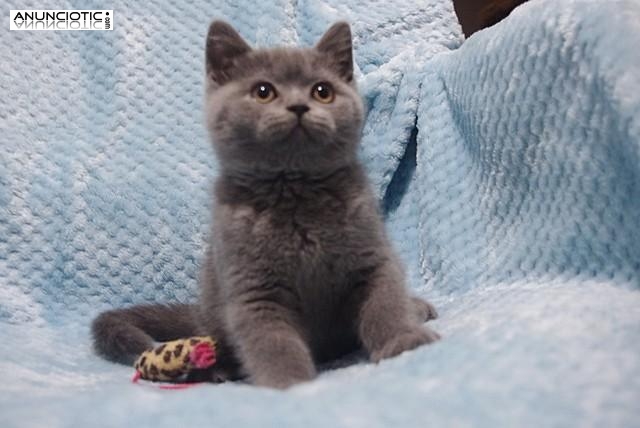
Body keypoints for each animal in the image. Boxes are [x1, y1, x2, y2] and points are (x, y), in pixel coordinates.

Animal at [91, 19, 440, 388]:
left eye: (322, 91)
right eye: (263, 91)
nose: (299, 106)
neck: (295, 193)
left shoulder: (372, 255)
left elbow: (385, 305)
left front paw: (402, 341)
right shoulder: (253, 286)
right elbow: (274, 343)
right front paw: (291, 384)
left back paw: (417, 307)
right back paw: (219, 369)